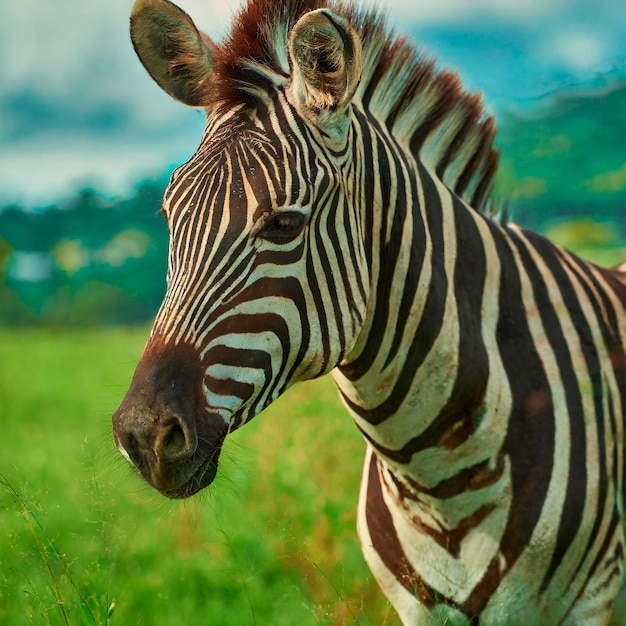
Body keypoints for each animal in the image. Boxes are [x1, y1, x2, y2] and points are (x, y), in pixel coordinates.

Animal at [112, 0, 624, 616]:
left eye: (284, 224)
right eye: (169, 218)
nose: (142, 437)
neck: (437, 474)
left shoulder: (590, 601)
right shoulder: (416, 607)